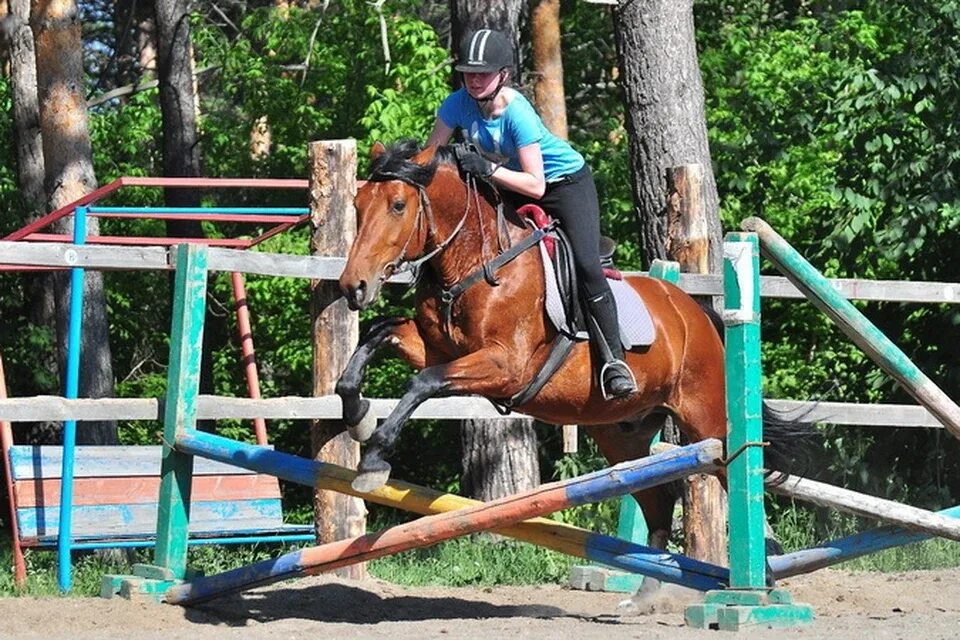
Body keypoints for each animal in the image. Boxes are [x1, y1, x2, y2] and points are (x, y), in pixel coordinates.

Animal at [338, 140, 808, 552]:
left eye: (398, 206)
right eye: (357, 205)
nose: (353, 287)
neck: (475, 265)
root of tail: (695, 312)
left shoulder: (506, 366)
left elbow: (423, 382)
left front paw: (374, 460)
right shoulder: (441, 350)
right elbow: (377, 336)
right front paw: (357, 414)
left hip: (706, 418)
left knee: (737, 472)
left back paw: (764, 567)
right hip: (621, 433)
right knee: (658, 501)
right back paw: (650, 589)